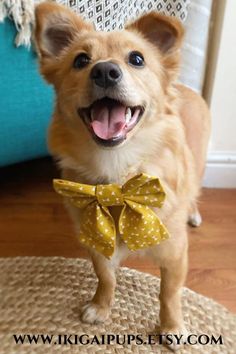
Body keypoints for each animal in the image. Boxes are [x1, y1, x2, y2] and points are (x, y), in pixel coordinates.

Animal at [34, 1, 210, 348]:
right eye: (80, 61)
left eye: (137, 59)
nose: (104, 70)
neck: (117, 173)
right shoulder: (96, 242)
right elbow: (105, 277)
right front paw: (101, 306)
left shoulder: (175, 254)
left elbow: (169, 295)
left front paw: (171, 327)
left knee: (194, 191)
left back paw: (193, 213)